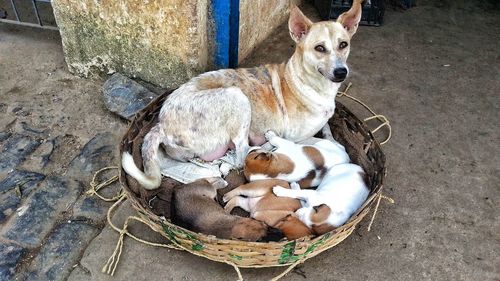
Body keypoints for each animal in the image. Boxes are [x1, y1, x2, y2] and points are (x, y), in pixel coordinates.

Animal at [121, 1, 364, 188]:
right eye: (319, 48)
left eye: (343, 44)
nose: (341, 72)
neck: (309, 83)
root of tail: (161, 125)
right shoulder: (296, 136)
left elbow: (329, 129)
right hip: (237, 97)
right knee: (240, 156)